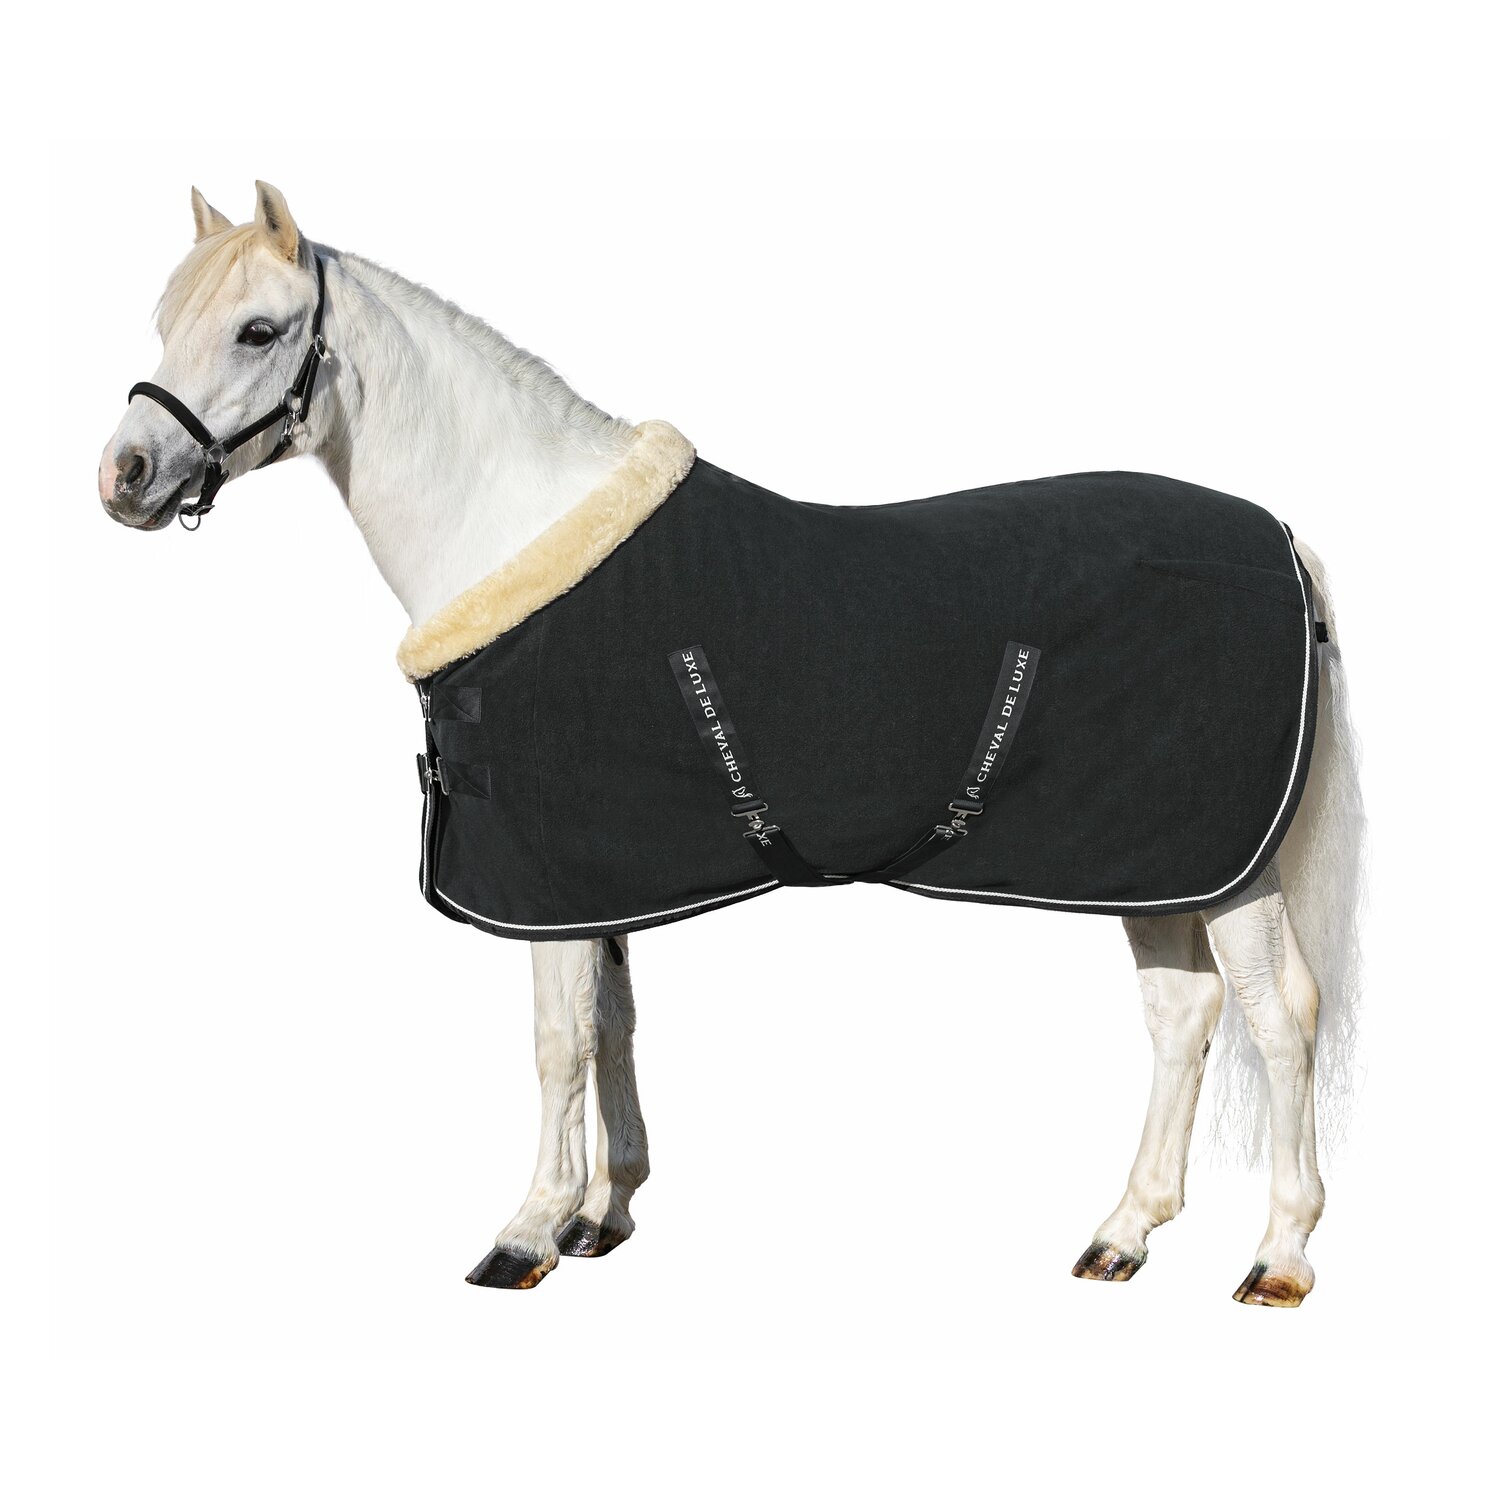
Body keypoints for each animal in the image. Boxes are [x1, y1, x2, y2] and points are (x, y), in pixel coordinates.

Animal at [97, 182, 1365, 1304]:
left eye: (260, 329)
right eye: (165, 319)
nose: (124, 477)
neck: (516, 530)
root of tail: (1279, 542)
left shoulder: (543, 876)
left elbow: (557, 1041)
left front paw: (525, 1235)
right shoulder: (597, 875)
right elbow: (612, 1025)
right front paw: (601, 1215)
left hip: (1226, 863)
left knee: (1279, 1017)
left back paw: (1280, 1258)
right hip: (1150, 857)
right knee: (1182, 1017)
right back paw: (1122, 1235)